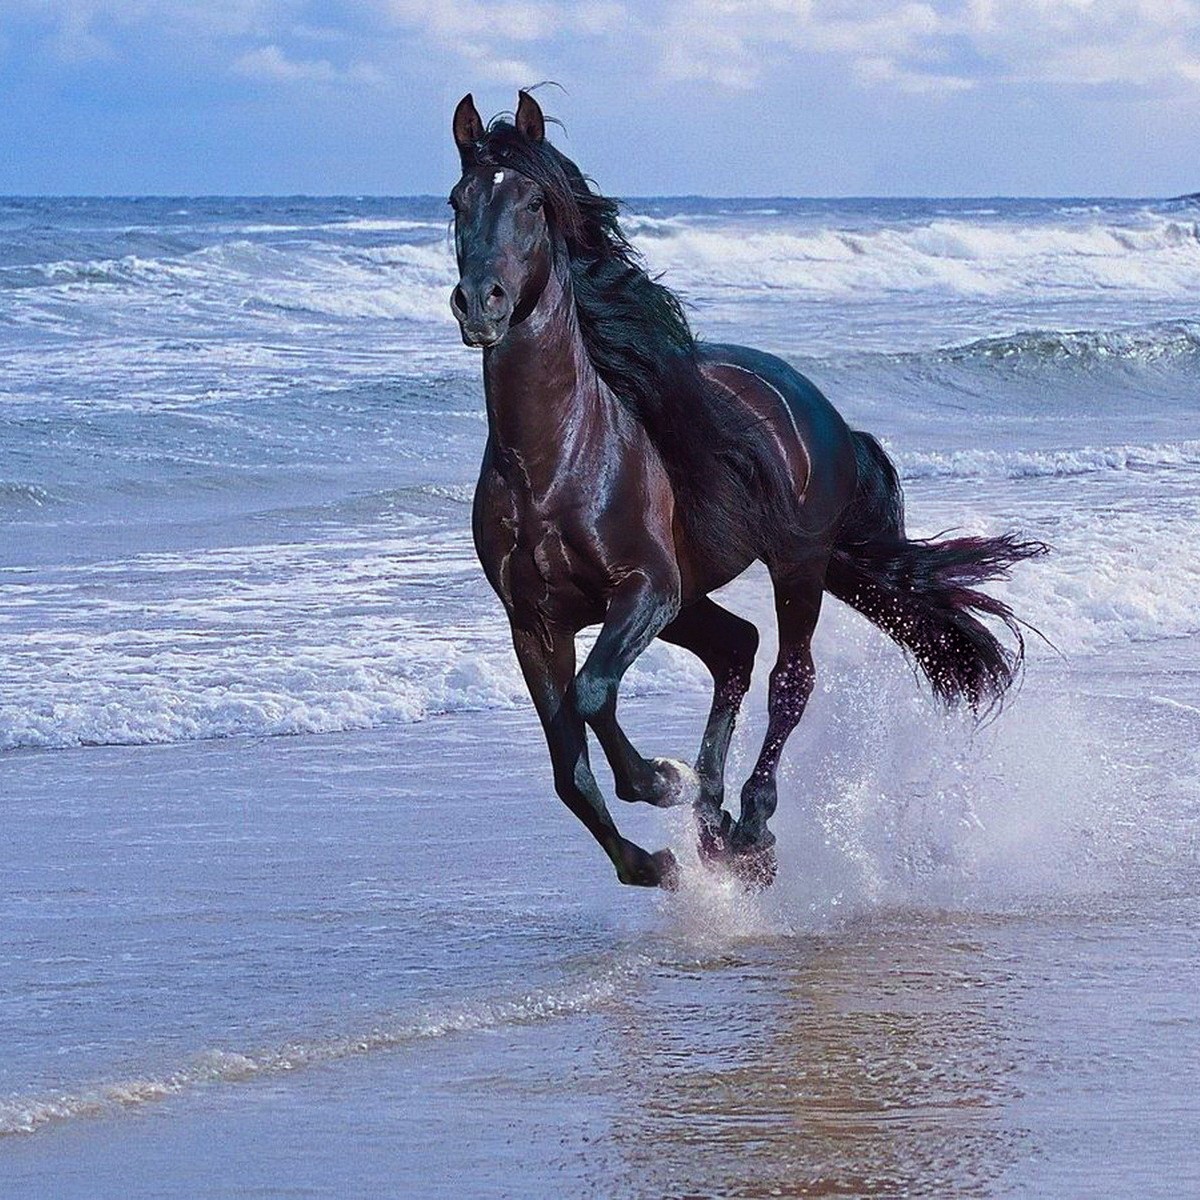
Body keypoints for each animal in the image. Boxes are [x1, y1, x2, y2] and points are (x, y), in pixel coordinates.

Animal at [448, 90, 1046, 889]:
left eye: (535, 203)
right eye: (458, 202)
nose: (479, 303)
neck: (555, 462)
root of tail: (819, 408)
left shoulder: (644, 588)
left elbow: (594, 696)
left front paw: (661, 781)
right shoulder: (534, 623)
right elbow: (568, 769)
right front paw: (654, 861)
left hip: (794, 567)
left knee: (789, 677)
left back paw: (751, 826)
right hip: (693, 598)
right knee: (736, 648)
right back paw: (714, 824)